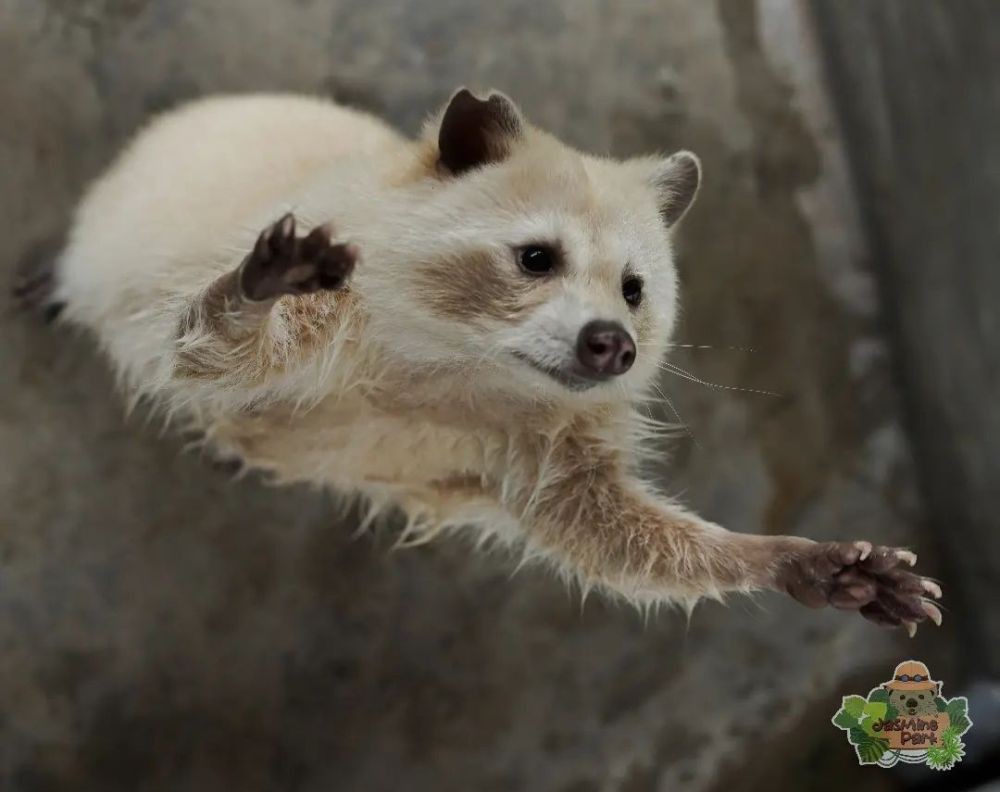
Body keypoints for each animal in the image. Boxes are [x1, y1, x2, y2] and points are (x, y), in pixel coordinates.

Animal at [25, 88, 944, 632]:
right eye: (536, 258)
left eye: (634, 288)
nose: (612, 345)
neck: (462, 363)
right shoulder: (324, 300)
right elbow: (203, 351)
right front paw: (251, 296)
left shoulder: (540, 437)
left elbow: (606, 531)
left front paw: (784, 557)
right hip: (118, 222)